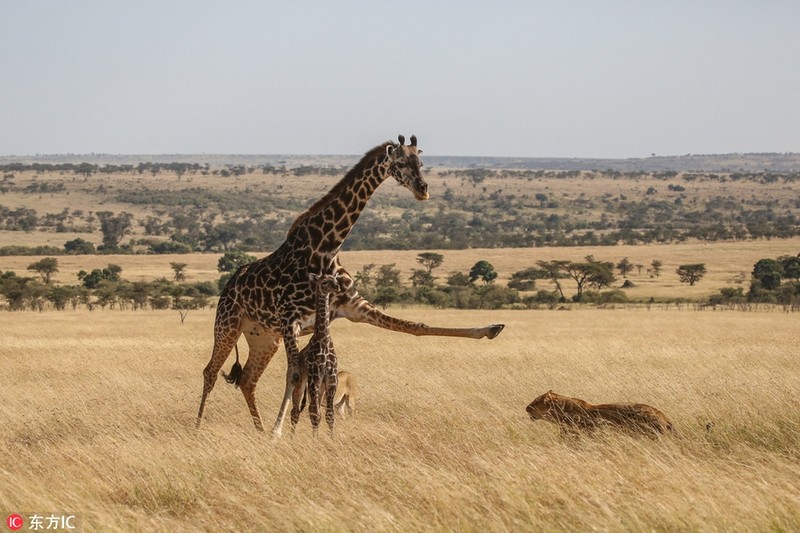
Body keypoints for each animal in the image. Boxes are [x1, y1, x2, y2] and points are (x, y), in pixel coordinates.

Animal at [294, 272, 344, 434]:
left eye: (335, 278)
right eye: (324, 282)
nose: (337, 286)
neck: (324, 340)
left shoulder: (331, 379)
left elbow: (329, 415)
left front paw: (331, 438)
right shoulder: (315, 377)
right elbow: (314, 413)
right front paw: (314, 438)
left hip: (320, 386)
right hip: (302, 382)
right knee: (295, 411)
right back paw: (291, 437)